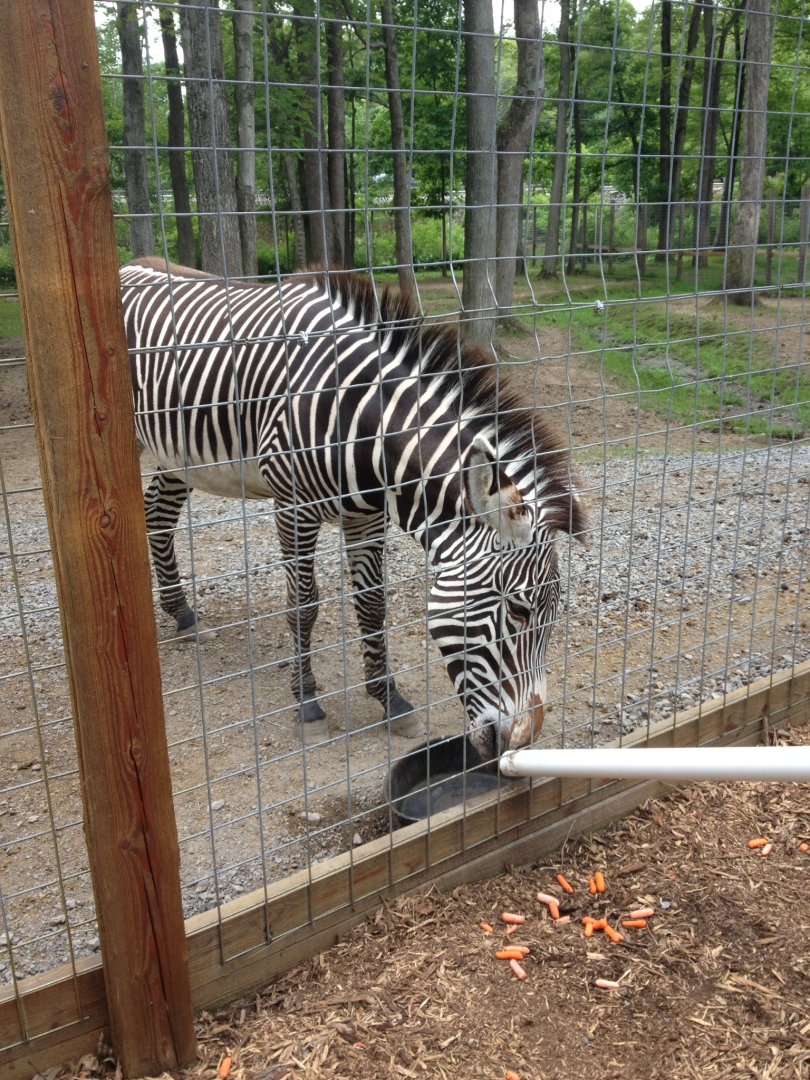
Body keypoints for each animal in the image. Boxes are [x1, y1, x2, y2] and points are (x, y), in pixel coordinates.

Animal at [121, 257, 588, 758]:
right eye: (519, 610)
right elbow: (303, 604)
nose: (523, 740)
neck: (366, 428)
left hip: (176, 452)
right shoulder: (295, 507)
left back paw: (182, 614)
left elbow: (371, 604)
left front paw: (390, 700)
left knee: (159, 514)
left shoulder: (368, 518)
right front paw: (307, 702)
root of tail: (131, 265)